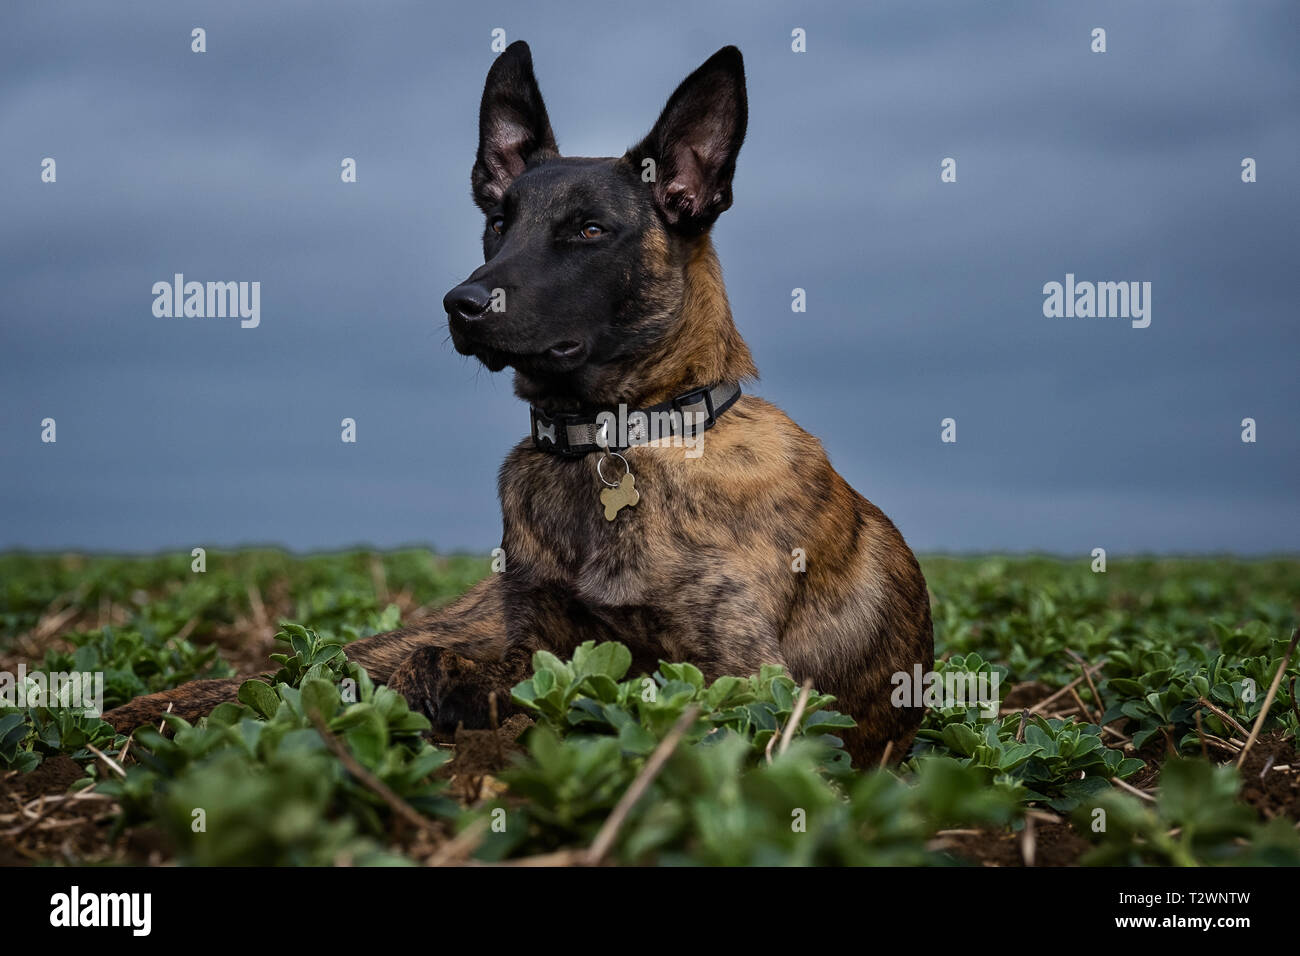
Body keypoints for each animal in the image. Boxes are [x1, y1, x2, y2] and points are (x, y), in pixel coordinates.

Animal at [104, 41, 935, 770]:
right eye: (498, 222)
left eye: (590, 230)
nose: (462, 304)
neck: (612, 442)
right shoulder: (536, 636)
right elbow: (490, 669)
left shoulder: (746, 685)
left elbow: (596, 692)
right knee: (297, 673)